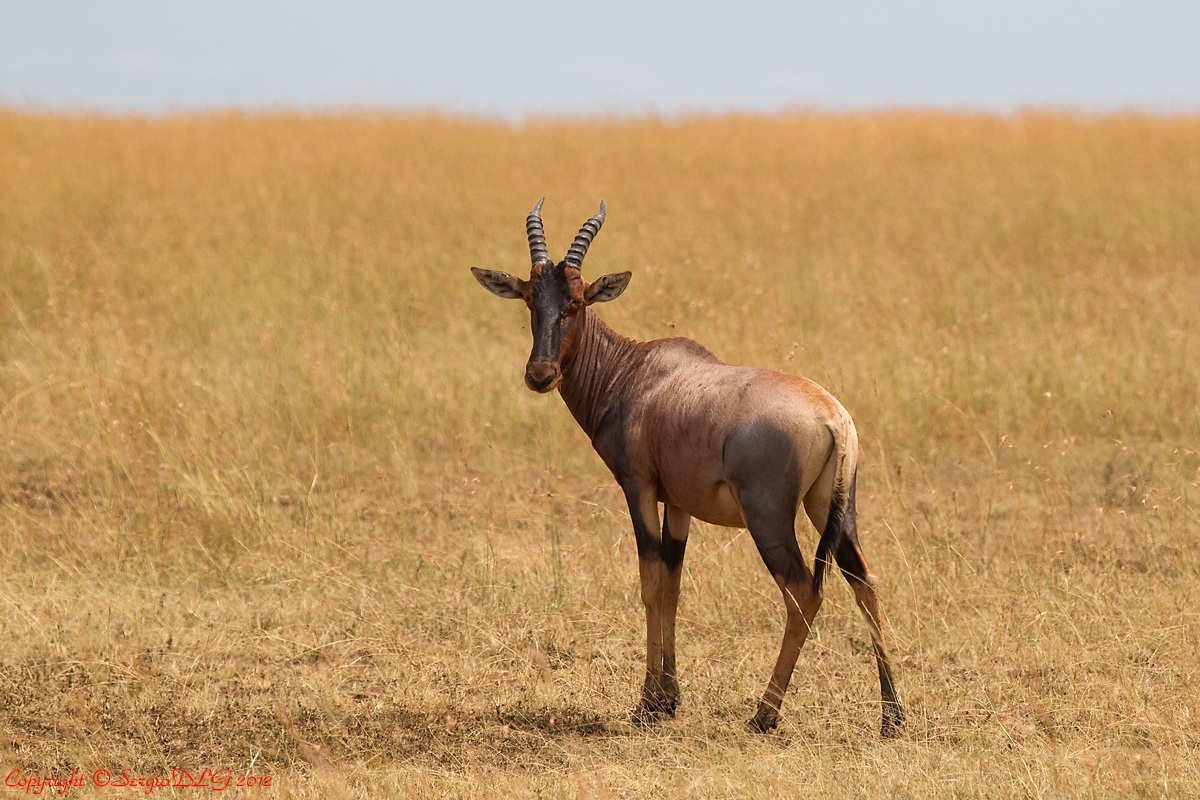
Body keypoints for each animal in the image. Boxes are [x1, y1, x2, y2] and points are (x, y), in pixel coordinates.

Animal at [471, 199, 905, 737]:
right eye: (531, 299)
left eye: (577, 301)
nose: (540, 374)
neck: (634, 372)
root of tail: (833, 417)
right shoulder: (678, 503)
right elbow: (673, 585)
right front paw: (669, 699)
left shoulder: (638, 488)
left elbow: (650, 581)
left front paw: (647, 705)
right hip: (833, 508)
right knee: (865, 581)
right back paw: (892, 718)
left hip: (770, 519)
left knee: (804, 591)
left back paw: (764, 714)